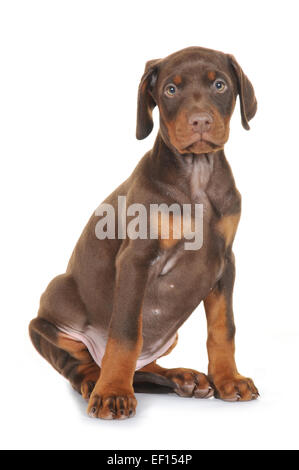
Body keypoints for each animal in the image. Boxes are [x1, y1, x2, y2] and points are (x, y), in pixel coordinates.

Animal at [29, 46, 260, 418]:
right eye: (171, 90)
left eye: (220, 85)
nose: (200, 121)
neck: (197, 175)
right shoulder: (136, 260)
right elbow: (125, 333)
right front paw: (113, 393)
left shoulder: (225, 260)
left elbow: (223, 327)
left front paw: (229, 379)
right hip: (49, 316)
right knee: (81, 365)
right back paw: (98, 382)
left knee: (143, 366)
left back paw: (181, 378)